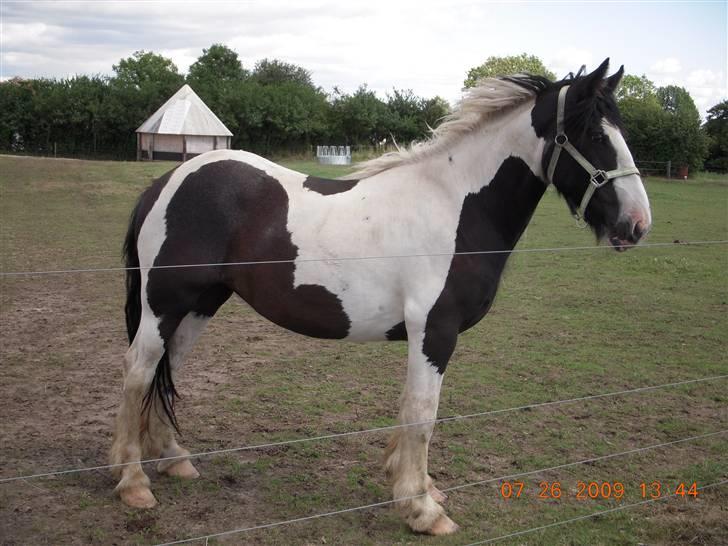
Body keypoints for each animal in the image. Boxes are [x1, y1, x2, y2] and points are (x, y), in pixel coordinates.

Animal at [111, 59, 652, 532]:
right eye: (595, 135)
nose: (637, 225)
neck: (456, 206)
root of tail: (166, 182)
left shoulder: (426, 335)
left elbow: (412, 411)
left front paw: (418, 488)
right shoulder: (434, 331)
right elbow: (422, 414)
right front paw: (422, 510)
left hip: (199, 304)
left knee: (167, 369)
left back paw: (174, 461)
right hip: (164, 304)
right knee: (138, 371)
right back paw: (133, 482)